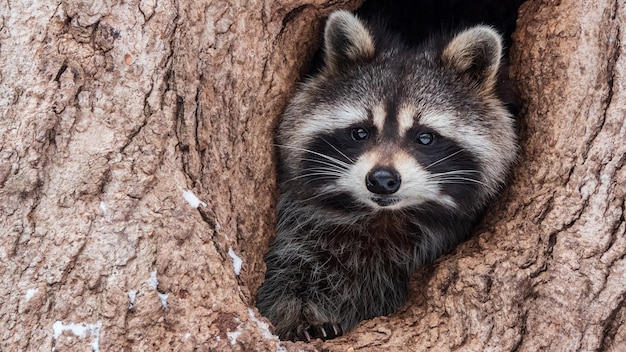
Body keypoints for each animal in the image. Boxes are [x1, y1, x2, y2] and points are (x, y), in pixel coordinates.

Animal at [255, 4, 516, 342]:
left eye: (425, 137)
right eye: (360, 132)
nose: (382, 180)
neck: (383, 217)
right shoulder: (296, 227)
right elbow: (286, 277)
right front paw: (299, 316)